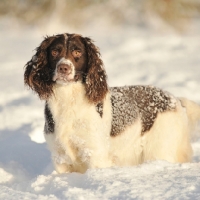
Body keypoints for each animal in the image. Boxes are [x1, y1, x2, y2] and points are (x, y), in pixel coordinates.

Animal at [24, 32, 200, 173]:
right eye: (54, 51)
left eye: (77, 51)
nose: (63, 68)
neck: (68, 99)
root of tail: (175, 99)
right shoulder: (60, 157)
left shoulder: (95, 154)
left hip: (160, 148)